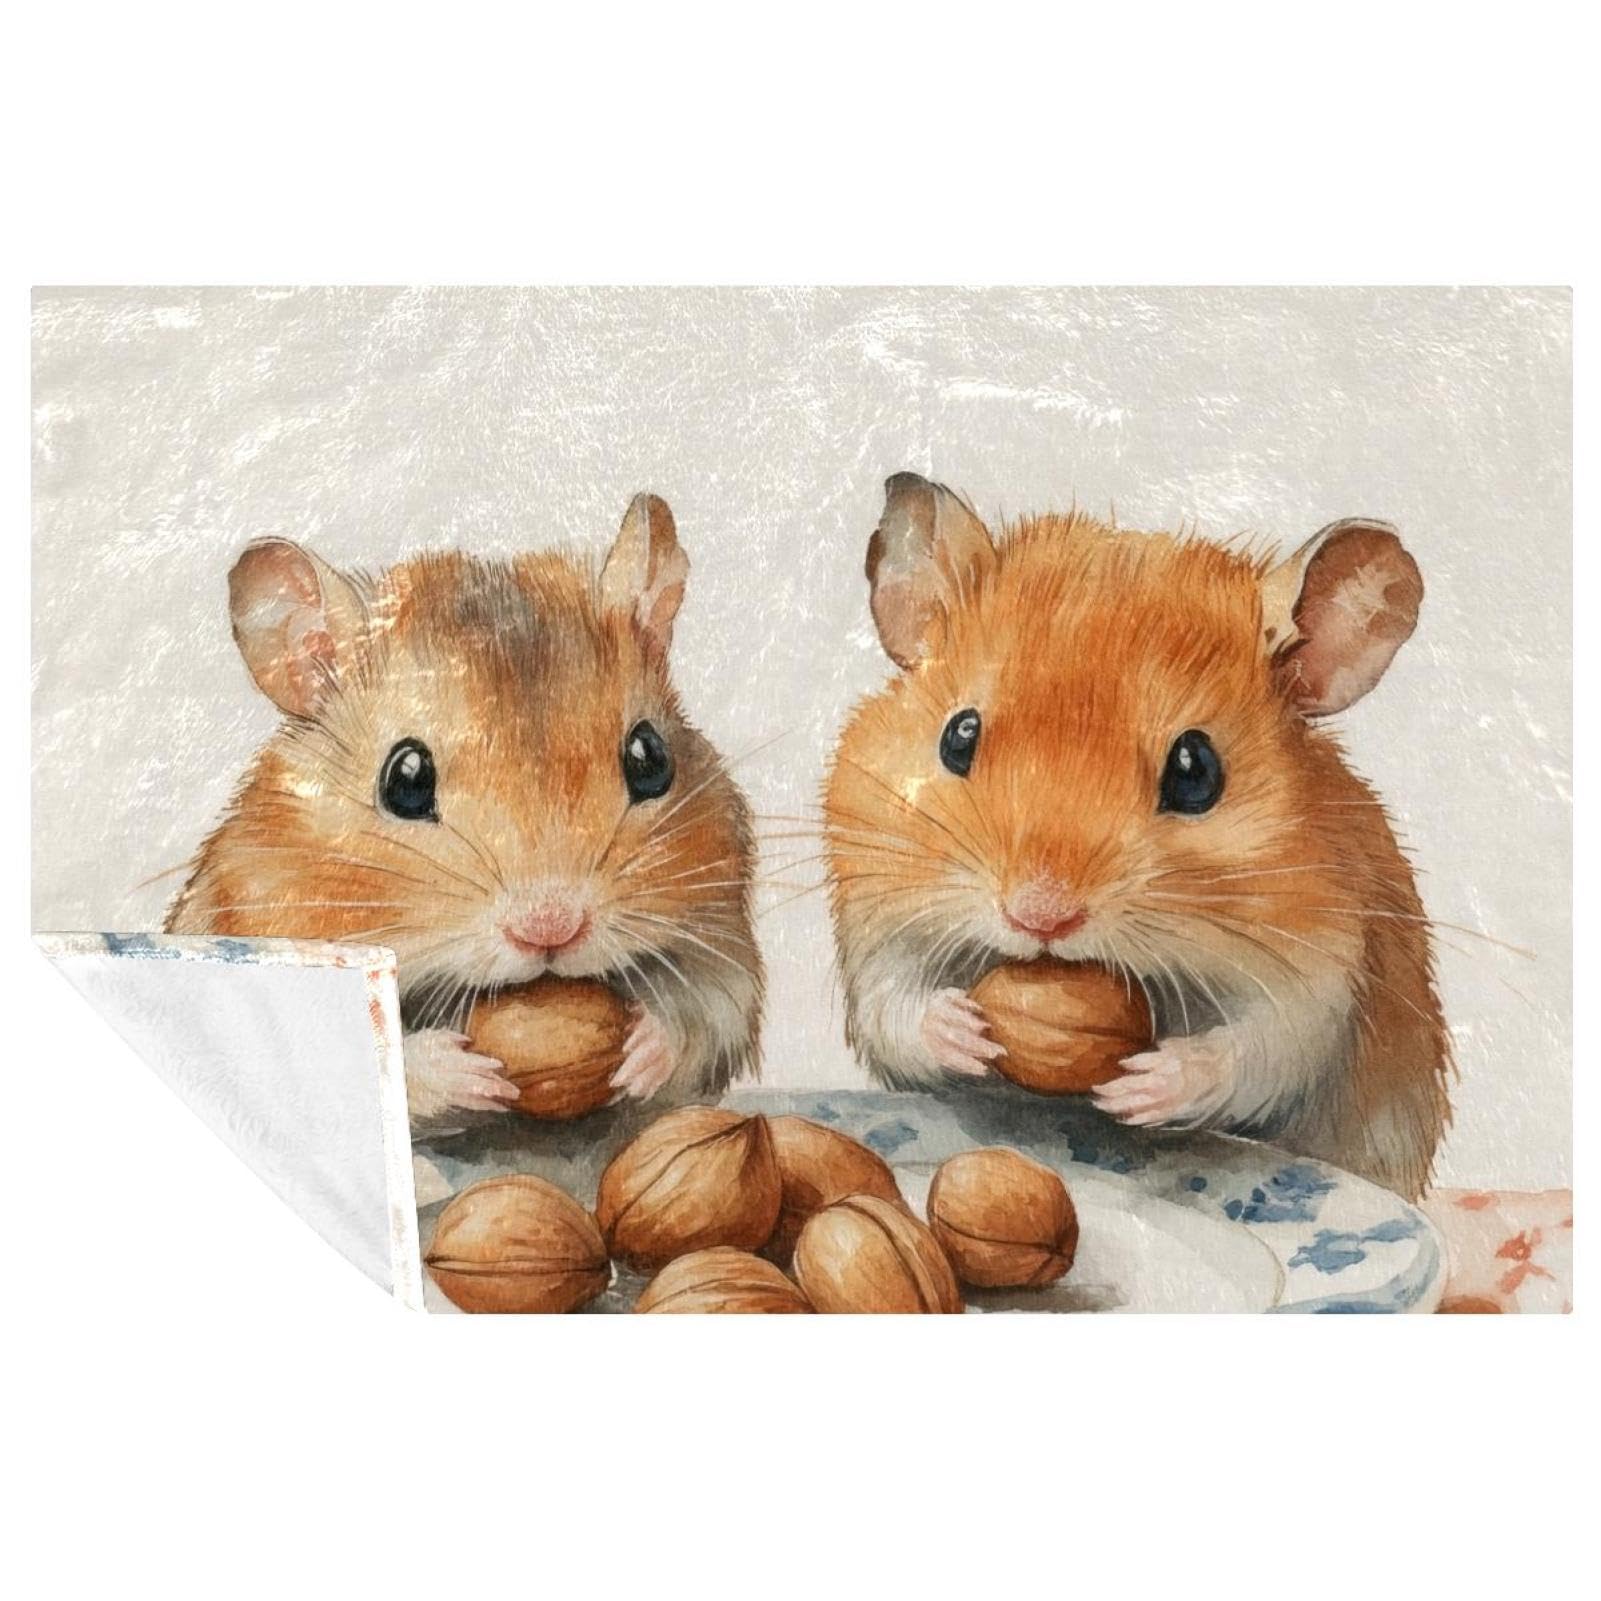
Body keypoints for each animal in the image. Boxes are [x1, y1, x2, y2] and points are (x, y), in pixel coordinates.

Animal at [167, 493, 764, 1135]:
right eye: (405, 780)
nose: (550, 929)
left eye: (650, 759)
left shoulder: (721, 935)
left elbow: (708, 1013)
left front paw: (642, 1049)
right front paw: (465, 1072)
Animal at [824, 472, 1450, 1200]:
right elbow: (894, 1010)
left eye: (1195, 770)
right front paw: (966, 1032)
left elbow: (1254, 1051)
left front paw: (1140, 1089)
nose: (1040, 916)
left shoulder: (1319, 970)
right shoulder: (876, 925)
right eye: (959, 735)